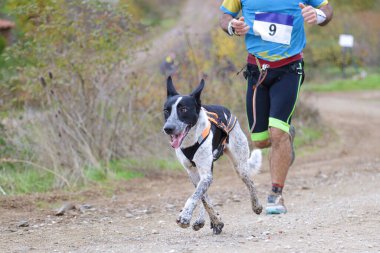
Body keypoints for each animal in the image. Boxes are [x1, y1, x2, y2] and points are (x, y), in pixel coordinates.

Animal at [162, 76, 262, 234]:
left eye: (183, 109)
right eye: (166, 110)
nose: (168, 128)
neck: (191, 139)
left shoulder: (206, 174)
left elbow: (195, 196)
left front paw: (185, 216)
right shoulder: (193, 173)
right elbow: (203, 198)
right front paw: (215, 220)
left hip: (240, 166)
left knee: (250, 183)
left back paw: (256, 205)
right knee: (204, 194)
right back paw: (203, 220)